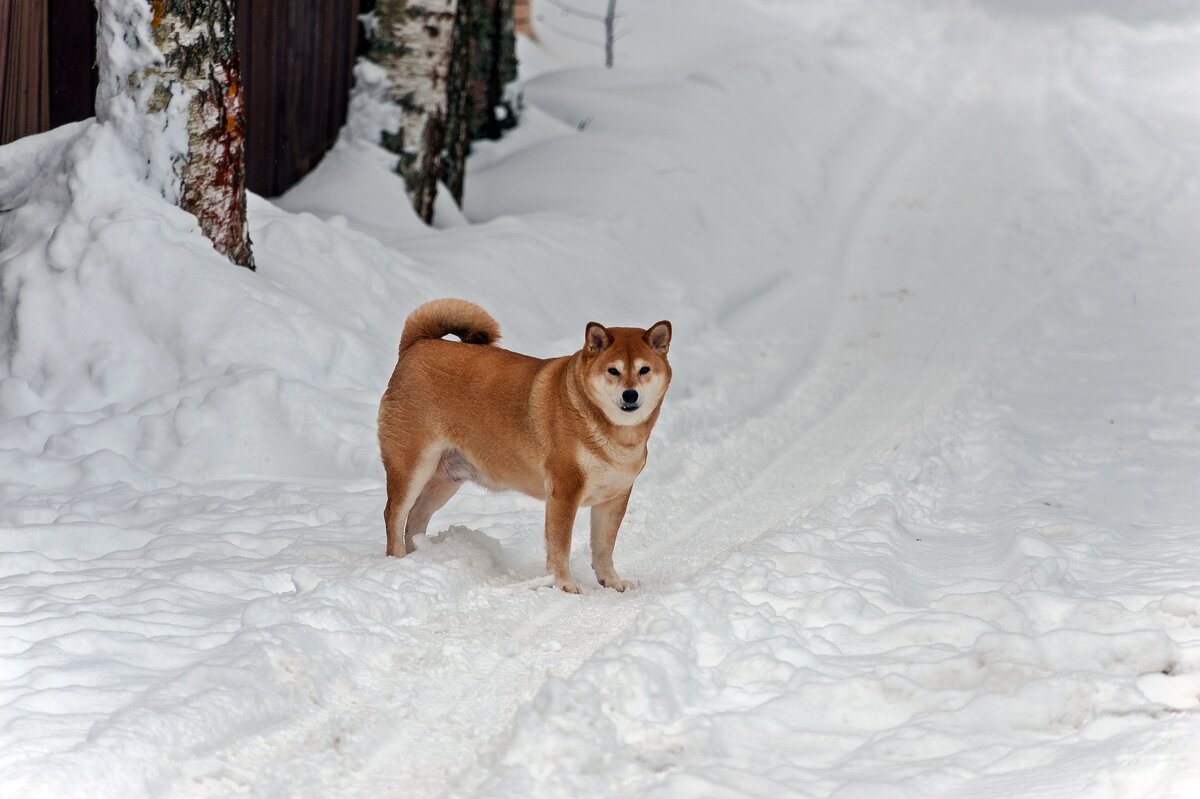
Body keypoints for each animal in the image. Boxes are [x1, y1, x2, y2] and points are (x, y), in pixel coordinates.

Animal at [376, 295, 672, 587]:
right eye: (613, 371)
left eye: (644, 369)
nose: (630, 395)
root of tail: (416, 346)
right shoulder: (565, 490)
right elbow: (560, 545)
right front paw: (564, 584)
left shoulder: (614, 498)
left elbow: (603, 547)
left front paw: (611, 581)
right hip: (413, 467)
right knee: (394, 515)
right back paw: (398, 560)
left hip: (446, 480)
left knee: (416, 518)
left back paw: (418, 559)